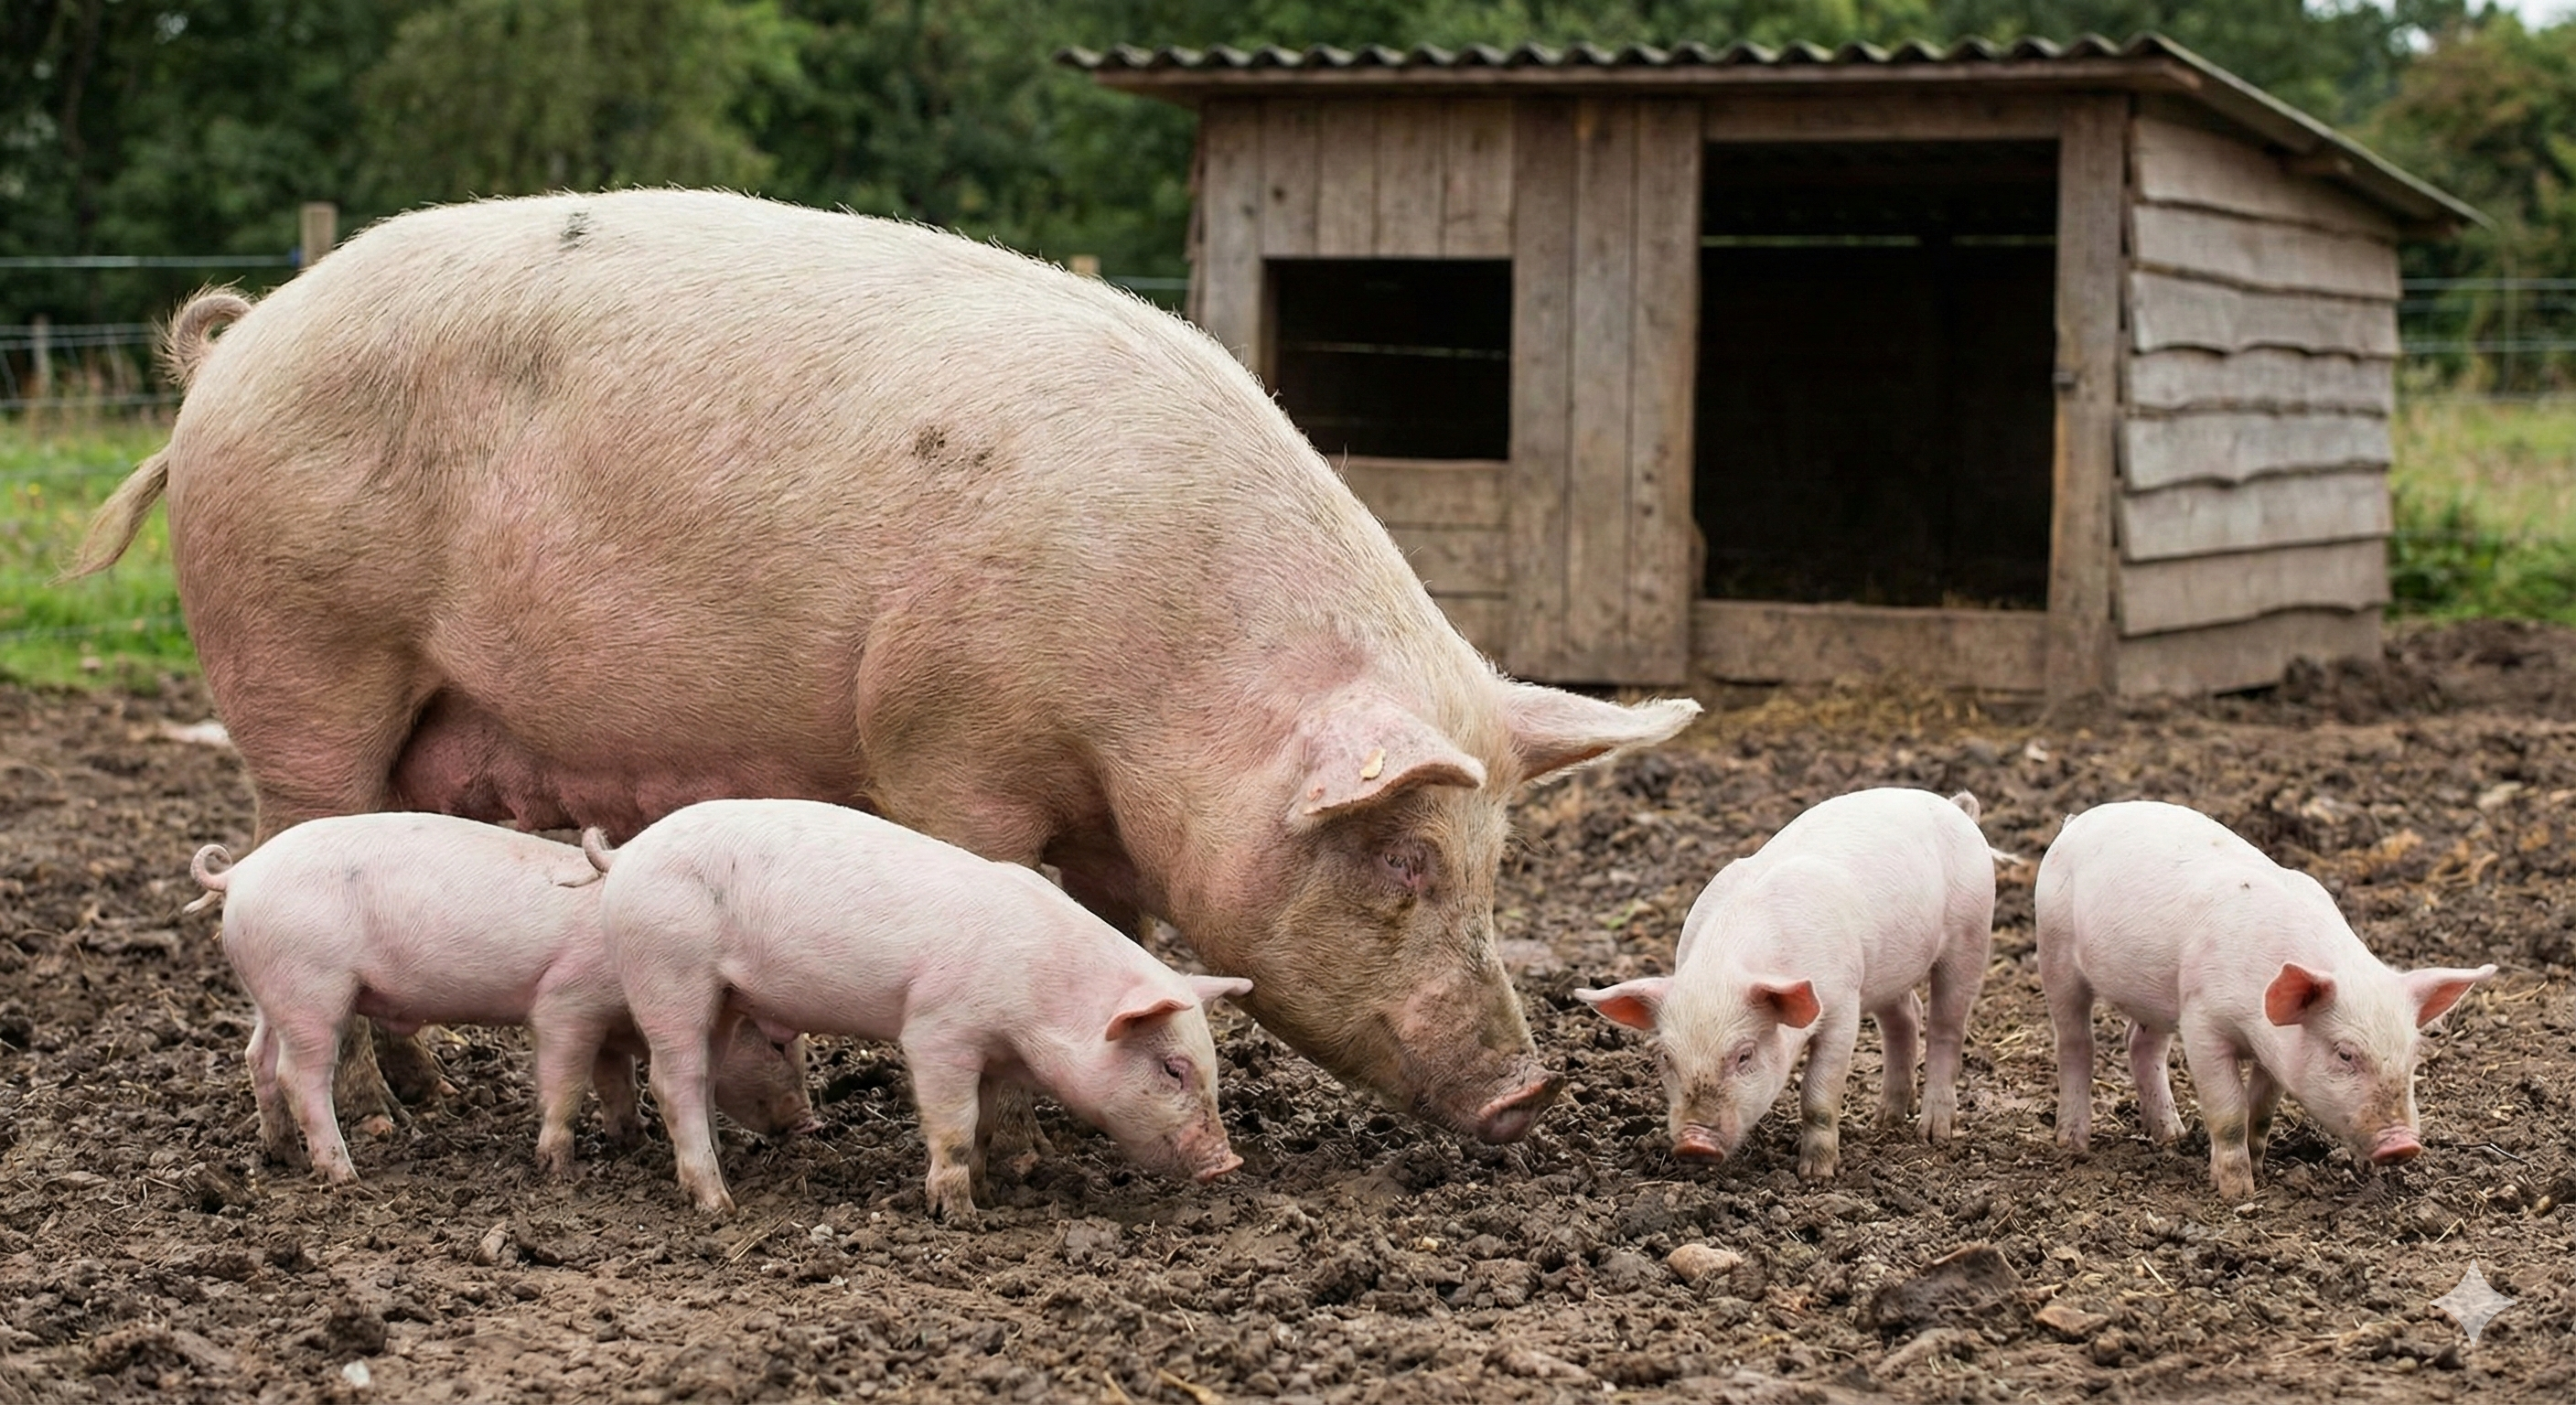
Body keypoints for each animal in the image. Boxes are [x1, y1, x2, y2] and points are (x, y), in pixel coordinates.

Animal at [68, 188, 1698, 1142]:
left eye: (1495, 867)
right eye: (1404, 861)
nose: (1528, 1087)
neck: (1166, 680)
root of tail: (232, 349)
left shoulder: (1109, 821)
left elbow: (1113, 933)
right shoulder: (945, 740)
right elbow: (997, 895)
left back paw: (419, 1099)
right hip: (301, 659)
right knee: (295, 856)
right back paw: (380, 1126)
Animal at [188, 812, 814, 1181]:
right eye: (778, 1047)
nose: (806, 1120)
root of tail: (237, 876)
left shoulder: (609, 1025)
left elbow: (616, 1080)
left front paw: (631, 1142)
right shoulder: (566, 1000)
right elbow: (565, 1081)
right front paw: (557, 1167)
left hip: (273, 991)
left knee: (257, 1058)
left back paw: (282, 1156)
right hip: (310, 987)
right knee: (300, 1075)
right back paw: (343, 1175)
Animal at [585, 798, 1249, 1220]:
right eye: (1173, 1069)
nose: (1228, 1161)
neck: (1043, 1001)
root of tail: (626, 856)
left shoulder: (991, 1056)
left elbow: (982, 1124)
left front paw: (988, 1191)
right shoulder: (939, 1030)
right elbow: (953, 1124)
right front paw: (959, 1214)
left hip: (720, 998)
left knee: (699, 1077)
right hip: (669, 973)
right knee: (672, 1081)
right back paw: (719, 1204)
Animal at [1576, 788, 1998, 1179]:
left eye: (1744, 1055)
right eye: (1666, 1057)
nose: (1695, 1144)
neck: (1724, 967)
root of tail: (1955, 808)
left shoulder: (1842, 1006)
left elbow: (1818, 1095)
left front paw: (1816, 1174)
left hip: (1971, 933)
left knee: (1946, 1027)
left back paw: (1934, 1134)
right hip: (1886, 969)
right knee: (1906, 1016)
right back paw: (1884, 1122)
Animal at [2036, 800, 2496, 1200]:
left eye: (2413, 1055)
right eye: (2344, 1053)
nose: (2402, 1145)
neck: (2253, 1025)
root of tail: (2079, 820)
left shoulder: (2276, 1050)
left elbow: (2261, 1111)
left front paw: (2258, 1170)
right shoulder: (2201, 1021)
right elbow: (2230, 1111)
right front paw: (2238, 1193)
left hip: (2157, 995)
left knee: (2140, 1044)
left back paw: (2171, 1136)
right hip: (2054, 947)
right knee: (2076, 1042)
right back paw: (2073, 1143)